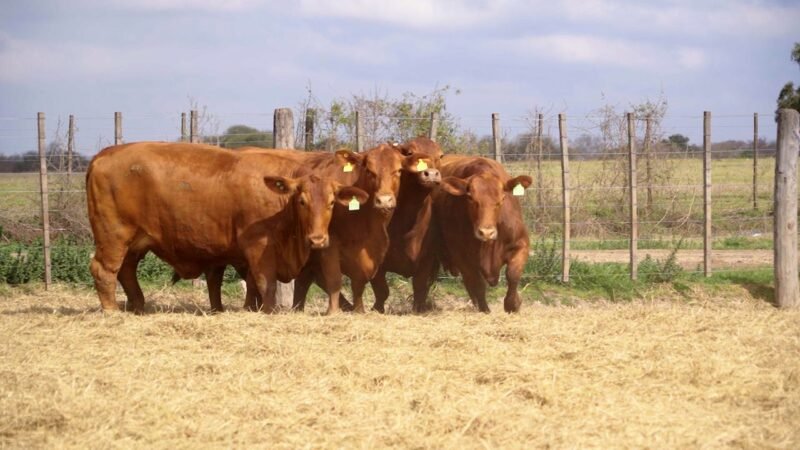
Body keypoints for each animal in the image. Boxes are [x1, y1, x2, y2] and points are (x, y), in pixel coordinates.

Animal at [85, 142, 367, 314]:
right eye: (302, 201)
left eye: (332, 202)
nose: (318, 240)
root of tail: (104, 154)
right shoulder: (258, 248)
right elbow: (265, 284)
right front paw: (268, 311)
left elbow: (250, 285)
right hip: (113, 237)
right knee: (104, 270)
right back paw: (112, 312)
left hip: (135, 243)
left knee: (126, 271)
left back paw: (138, 306)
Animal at [409, 155, 532, 313]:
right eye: (471, 198)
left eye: (502, 199)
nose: (486, 232)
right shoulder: (462, 257)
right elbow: (477, 284)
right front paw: (485, 310)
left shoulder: (521, 244)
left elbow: (513, 274)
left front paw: (513, 304)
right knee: (424, 281)